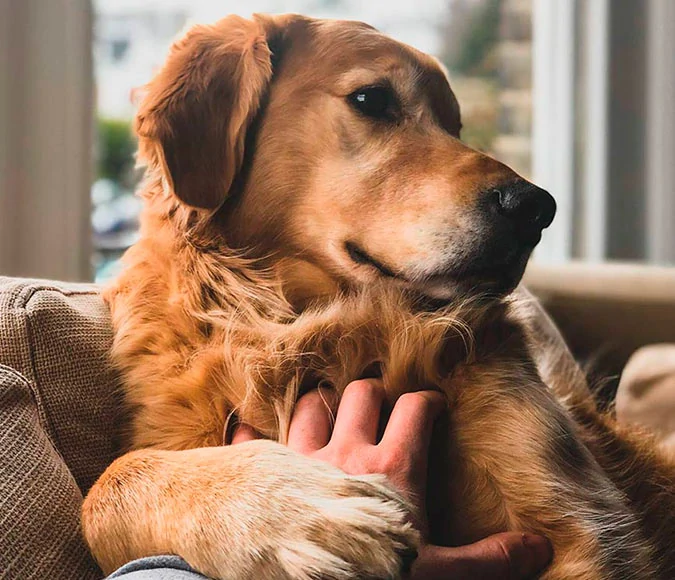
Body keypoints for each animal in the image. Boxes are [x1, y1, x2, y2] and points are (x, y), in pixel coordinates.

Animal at [82, 13, 675, 580]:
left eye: (455, 125)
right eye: (372, 100)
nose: (536, 209)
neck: (313, 321)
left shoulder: (586, 527)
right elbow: (109, 485)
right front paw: (305, 510)